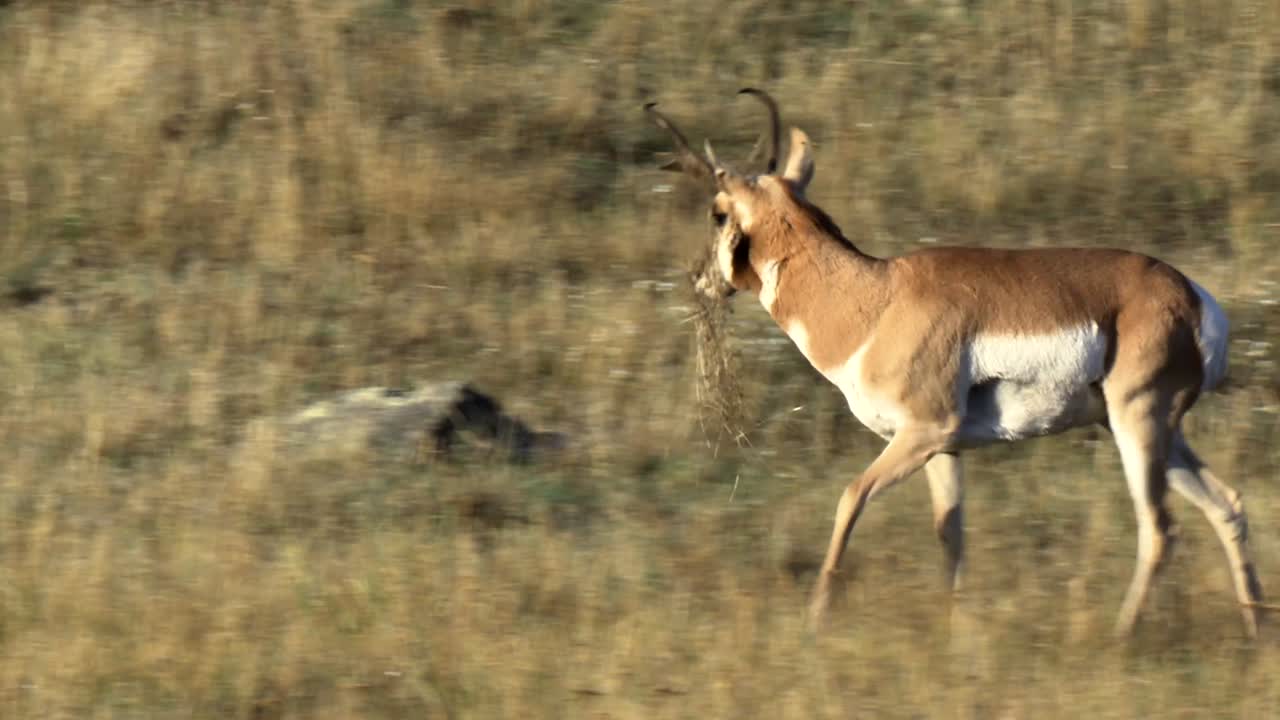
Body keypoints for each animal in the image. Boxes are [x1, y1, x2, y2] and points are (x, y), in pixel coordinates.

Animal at [646, 88, 1265, 637]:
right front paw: (955, 632)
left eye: (717, 212)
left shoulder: (923, 433)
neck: (876, 300)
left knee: (1159, 529)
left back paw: (1121, 636)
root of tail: (1190, 296)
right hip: (1155, 431)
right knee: (1228, 506)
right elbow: (950, 534)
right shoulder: (942, 449)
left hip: (1138, 423)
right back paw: (1257, 630)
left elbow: (850, 497)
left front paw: (816, 619)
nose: (698, 280)